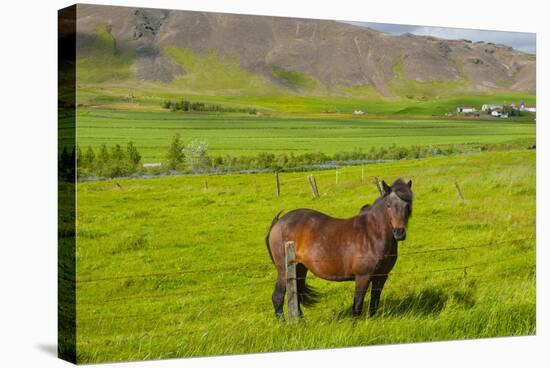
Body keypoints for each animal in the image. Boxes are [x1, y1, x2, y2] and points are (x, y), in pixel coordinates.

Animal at [268, 178, 414, 316]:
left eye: (407, 205)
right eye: (388, 205)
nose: (399, 232)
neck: (372, 235)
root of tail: (278, 222)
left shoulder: (381, 277)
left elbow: (374, 304)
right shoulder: (363, 277)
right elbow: (357, 306)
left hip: (299, 269)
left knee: (296, 296)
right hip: (284, 272)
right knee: (277, 297)